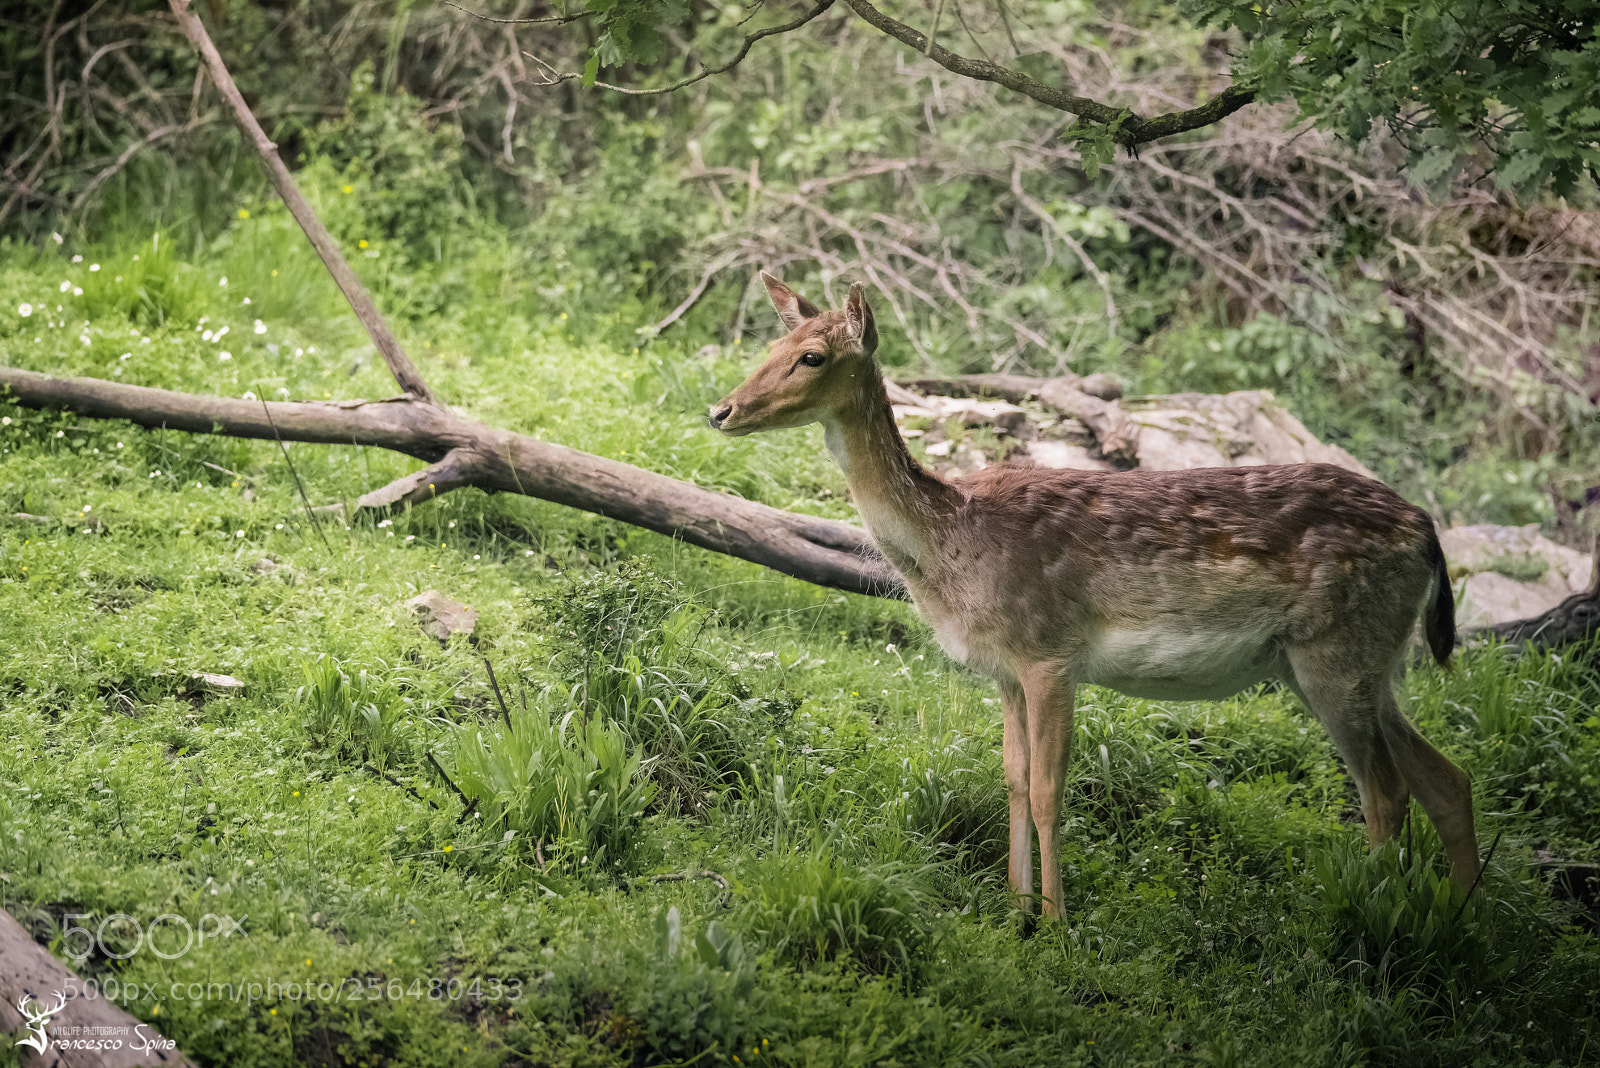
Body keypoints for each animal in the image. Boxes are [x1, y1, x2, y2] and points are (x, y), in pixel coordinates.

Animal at [708, 273, 1480, 920]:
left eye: (813, 357)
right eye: (772, 345)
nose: (720, 409)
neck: (950, 549)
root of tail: (1426, 532)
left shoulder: (1049, 652)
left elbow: (1050, 791)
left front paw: (1056, 922)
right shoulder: (1004, 671)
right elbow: (1014, 779)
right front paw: (1015, 907)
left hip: (1336, 653)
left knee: (1387, 792)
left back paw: (1370, 914)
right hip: (1357, 664)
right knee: (1448, 776)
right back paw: (1463, 919)